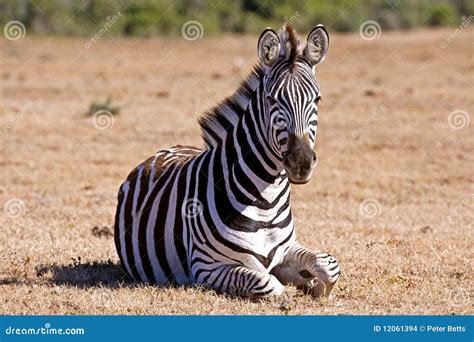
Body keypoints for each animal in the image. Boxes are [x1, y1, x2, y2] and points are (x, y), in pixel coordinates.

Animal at [116, 23, 340, 296]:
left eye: (317, 99)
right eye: (271, 99)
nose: (301, 162)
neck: (265, 203)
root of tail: (169, 148)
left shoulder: (288, 249)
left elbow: (329, 265)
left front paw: (314, 284)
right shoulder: (206, 267)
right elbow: (269, 284)